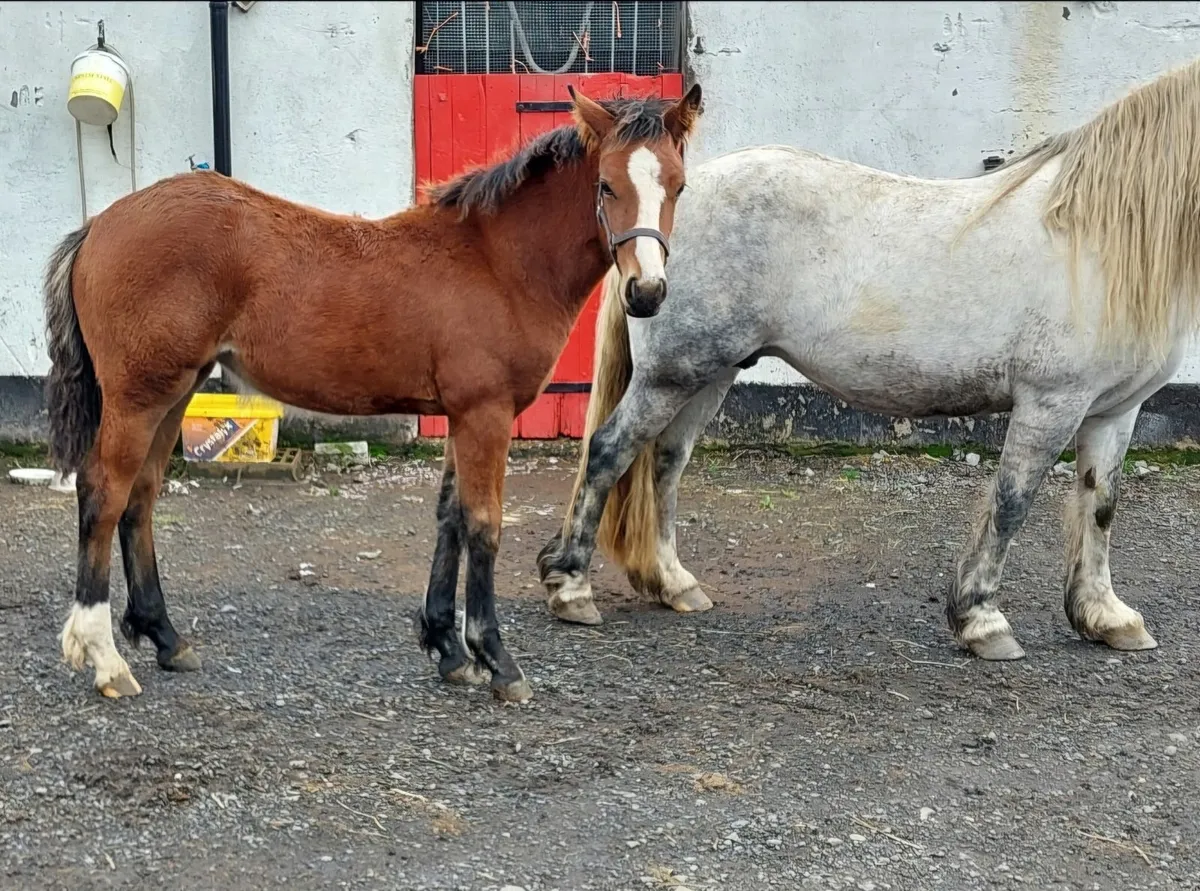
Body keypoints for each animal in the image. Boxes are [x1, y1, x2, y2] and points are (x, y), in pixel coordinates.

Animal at [43, 83, 704, 703]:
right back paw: (104, 656)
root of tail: (100, 225)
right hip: (138, 396)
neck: (496, 262)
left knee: (142, 496)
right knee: (105, 493)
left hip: (175, 391)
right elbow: (483, 525)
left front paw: (448, 648)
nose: (647, 293)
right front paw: (497, 660)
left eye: (677, 185)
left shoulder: (459, 416)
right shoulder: (485, 415)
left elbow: (449, 517)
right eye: (606, 186)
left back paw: (165, 637)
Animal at [537, 58, 1200, 663]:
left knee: (666, 462)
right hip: (672, 374)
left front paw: (1106, 617)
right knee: (609, 451)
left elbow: (1101, 506)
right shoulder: (1050, 403)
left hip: (708, 373)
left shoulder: (1114, 411)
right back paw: (571, 588)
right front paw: (981, 620)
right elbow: (1013, 503)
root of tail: (653, 233)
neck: (1096, 238)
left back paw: (673, 583)